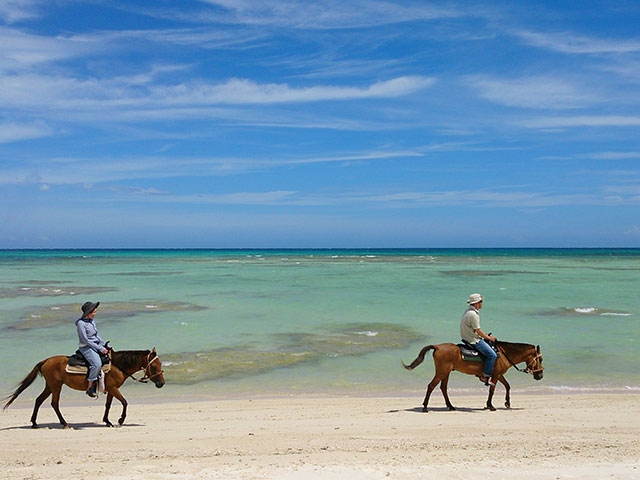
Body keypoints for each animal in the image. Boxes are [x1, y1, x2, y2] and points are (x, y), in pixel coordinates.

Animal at [3, 346, 164, 430]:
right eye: (154, 366)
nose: (161, 383)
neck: (117, 365)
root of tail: (46, 361)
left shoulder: (111, 390)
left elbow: (108, 405)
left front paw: (108, 421)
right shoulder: (113, 388)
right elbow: (124, 402)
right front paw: (120, 420)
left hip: (50, 386)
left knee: (38, 400)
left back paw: (35, 423)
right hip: (56, 386)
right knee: (54, 403)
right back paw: (64, 424)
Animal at [402, 342, 544, 412]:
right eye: (541, 359)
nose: (540, 375)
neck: (504, 354)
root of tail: (437, 346)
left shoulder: (498, 374)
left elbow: (507, 386)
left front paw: (507, 403)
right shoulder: (496, 375)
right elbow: (492, 390)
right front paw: (490, 406)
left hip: (446, 372)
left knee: (443, 388)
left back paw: (450, 406)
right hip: (442, 372)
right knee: (431, 386)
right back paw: (425, 407)